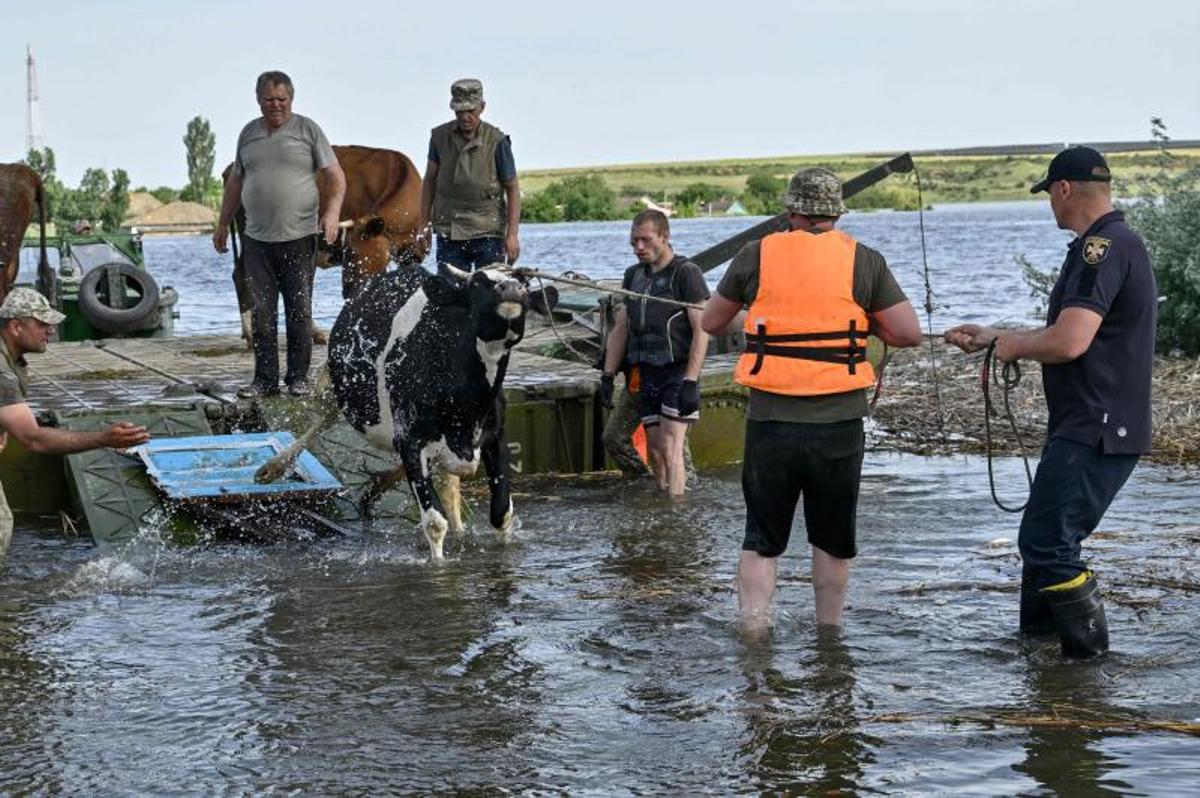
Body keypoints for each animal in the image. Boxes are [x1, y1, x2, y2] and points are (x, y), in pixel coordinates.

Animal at [225, 144, 427, 343]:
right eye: (346, 251)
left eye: (353, 252)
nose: (348, 289)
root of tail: (231, 168)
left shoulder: (412, 255)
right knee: (243, 276)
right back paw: (252, 333)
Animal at [326, 264, 554, 556]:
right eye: (477, 282)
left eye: (523, 284)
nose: (512, 288)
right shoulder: (409, 442)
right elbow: (435, 522)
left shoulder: (496, 437)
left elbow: (501, 513)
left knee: (451, 493)